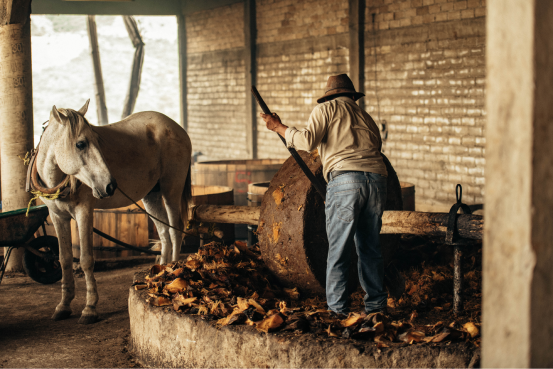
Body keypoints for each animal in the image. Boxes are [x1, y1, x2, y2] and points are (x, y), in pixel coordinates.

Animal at [34, 100, 192, 322]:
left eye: (97, 140)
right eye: (80, 144)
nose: (110, 186)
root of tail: (178, 128)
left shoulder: (84, 213)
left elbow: (86, 259)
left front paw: (90, 308)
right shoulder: (58, 217)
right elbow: (64, 259)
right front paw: (63, 306)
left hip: (171, 190)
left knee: (175, 230)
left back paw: (174, 271)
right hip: (151, 196)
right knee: (164, 233)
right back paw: (161, 273)